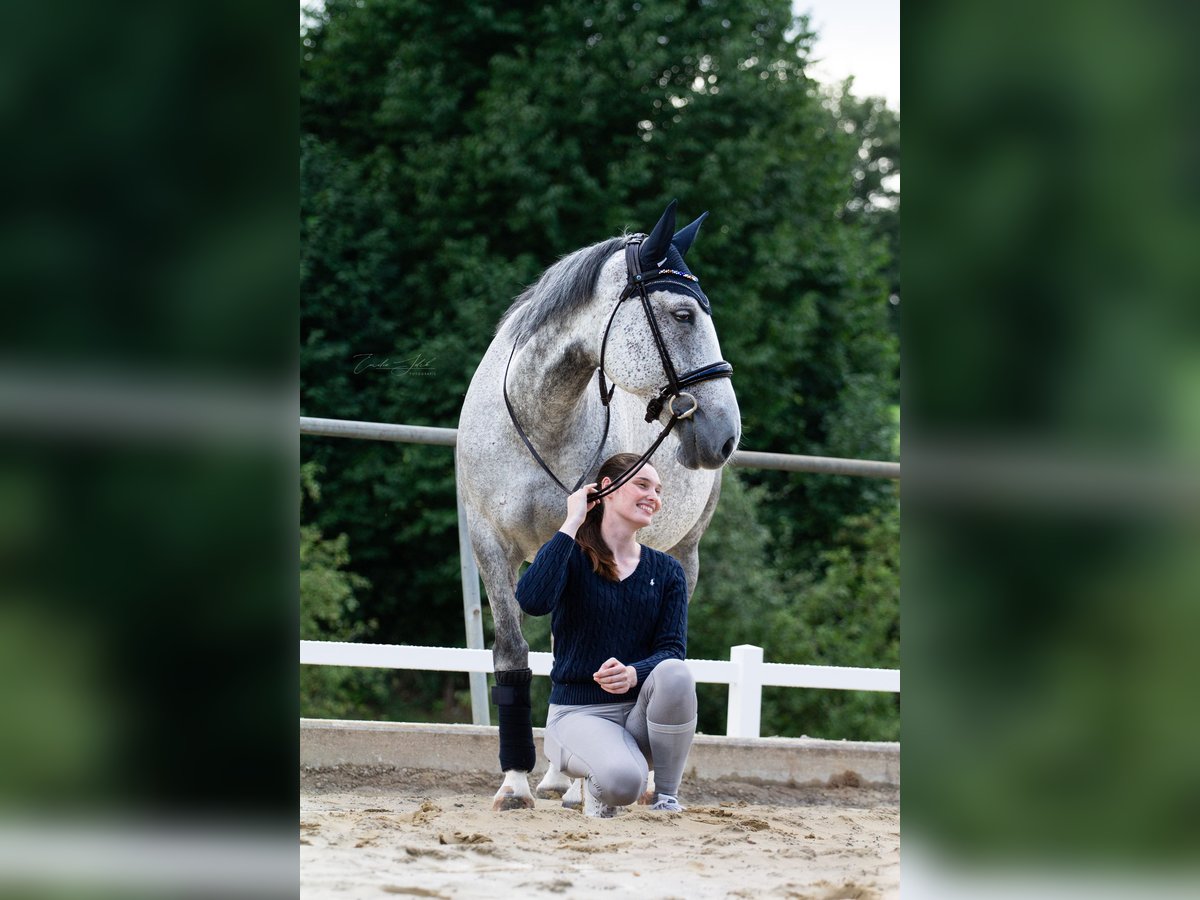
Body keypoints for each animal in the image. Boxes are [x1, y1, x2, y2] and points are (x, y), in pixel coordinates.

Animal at [456, 202, 739, 811]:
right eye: (683, 314)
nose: (726, 434)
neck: (541, 414)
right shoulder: (492, 546)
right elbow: (515, 653)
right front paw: (515, 783)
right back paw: (555, 778)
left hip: (685, 553)